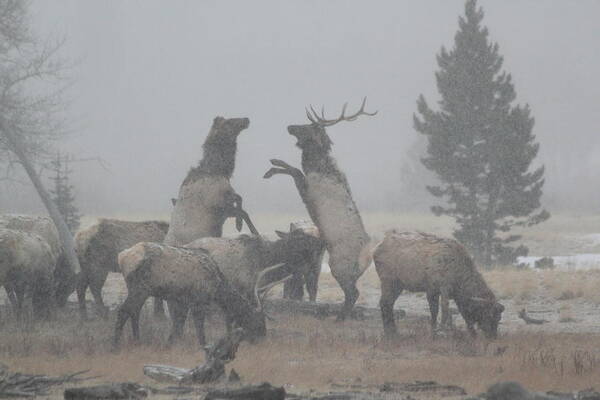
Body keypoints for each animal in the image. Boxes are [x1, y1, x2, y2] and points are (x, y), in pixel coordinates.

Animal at [264, 98, 376, 320]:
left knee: (352, 293)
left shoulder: (308, 189)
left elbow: (294, 170)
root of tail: (368, 259)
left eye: (309, 126)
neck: (316, 165)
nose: (290, 126)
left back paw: (340, 318)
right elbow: (294, 169)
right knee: (351, 293)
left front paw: (272, 167)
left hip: (338, 266)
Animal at [372, 230, 504, 340]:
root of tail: (376, 249)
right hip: (388, 281)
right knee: (384, 303)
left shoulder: (440, 292)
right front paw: (441, 331)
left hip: (398, 285)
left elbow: (456, 313)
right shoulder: (442, 287)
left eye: (499, 318)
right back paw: (390, 332)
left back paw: (393, 332)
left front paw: (471, 334)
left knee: (388, 303)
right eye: (487, 314)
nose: (493, 337)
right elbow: (443, 310)